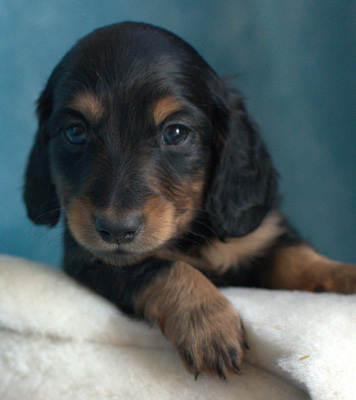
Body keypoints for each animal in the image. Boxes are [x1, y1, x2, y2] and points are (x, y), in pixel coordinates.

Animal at [24, 21, 356, 378]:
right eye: (75, 133)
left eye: (176, 133)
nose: (116, 230)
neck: (192, 234)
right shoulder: (90, 259)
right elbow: (162, 266)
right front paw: (206, 323)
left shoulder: (261, 234)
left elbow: (298, 257)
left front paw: (345, 274)